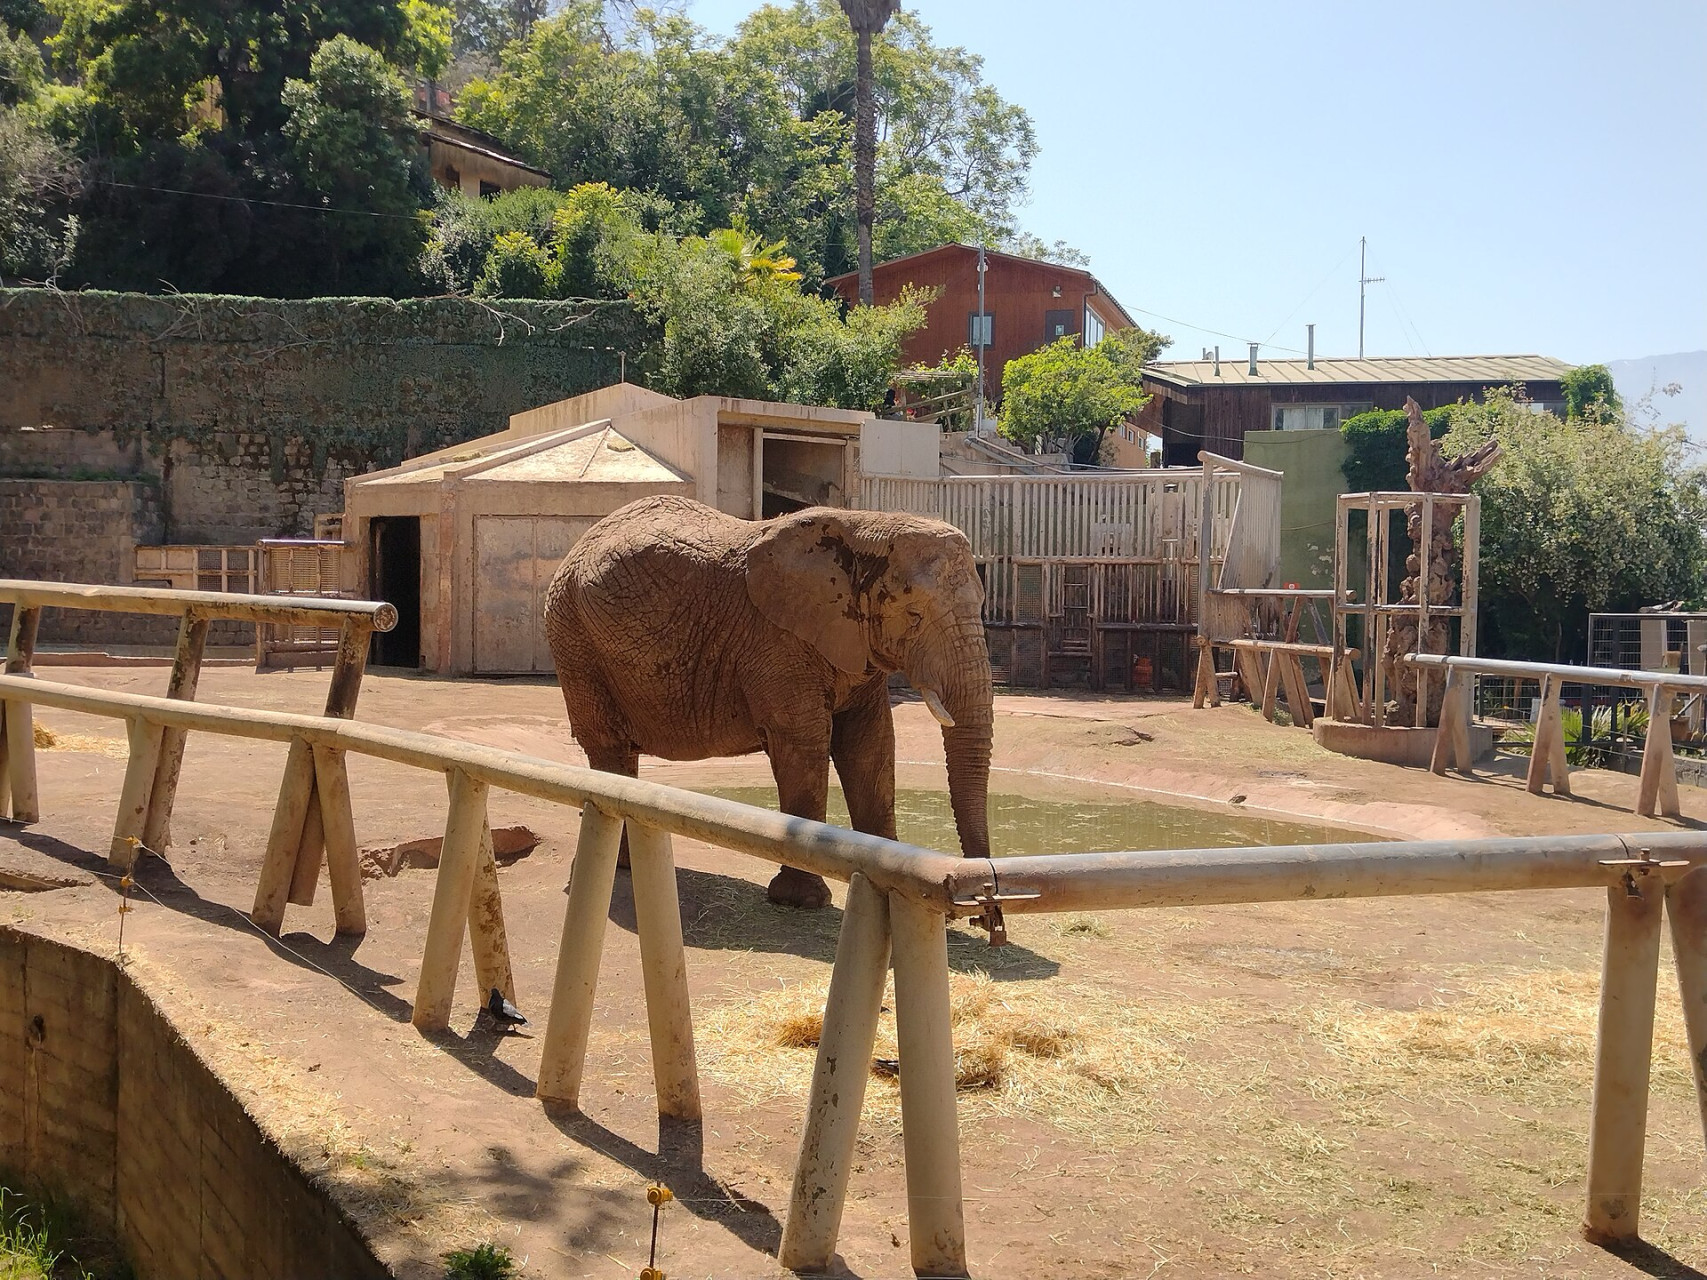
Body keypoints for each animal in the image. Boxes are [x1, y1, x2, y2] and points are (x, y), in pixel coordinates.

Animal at [543, 495, 993, 908]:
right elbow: (805, 744)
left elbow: (870, 746)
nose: (985, 908)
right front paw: (803, 900)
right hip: (573, 638)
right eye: (913, 614)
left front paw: (890, 877)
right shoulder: (776, 639)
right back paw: (622, 866)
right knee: (609, 747)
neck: (867, 526)